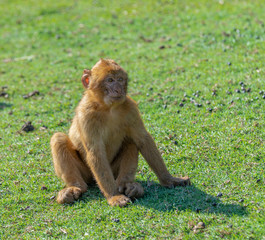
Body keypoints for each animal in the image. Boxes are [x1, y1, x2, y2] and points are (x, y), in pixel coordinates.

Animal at [50, 58, 190, 206]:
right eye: (110, 80)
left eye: (120, 79)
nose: (119, 89)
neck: (108, 108)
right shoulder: (86, 115)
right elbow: (95, 152)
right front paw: (114, 196)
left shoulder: (131, 108)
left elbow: (143, 140)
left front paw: (169, 179)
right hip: (88, 174)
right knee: (58, 138)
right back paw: (75, 187)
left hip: (114, 170)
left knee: (131, 142)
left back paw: (128, 186)